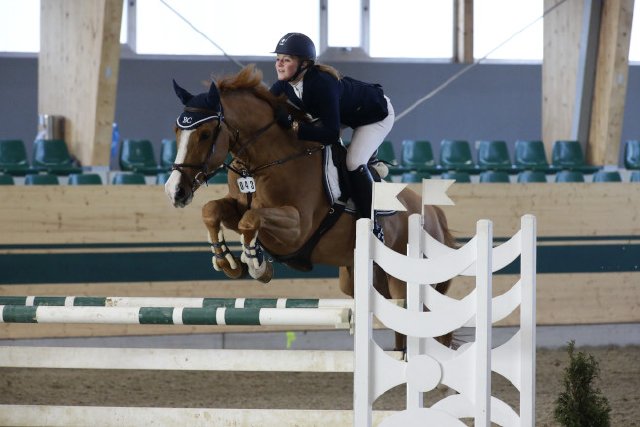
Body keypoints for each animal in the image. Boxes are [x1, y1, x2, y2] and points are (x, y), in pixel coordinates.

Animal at [165, 64, 456, 352]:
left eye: (205, 134)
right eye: (177, 132)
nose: (174, 191)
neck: (266, 160)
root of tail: (434, 215)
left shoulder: (297, 228)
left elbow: (251, 219)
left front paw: (256, 264)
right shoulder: (237, 206)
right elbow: (213, 211)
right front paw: (227, 261)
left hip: (403, 281)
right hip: (363, 280)